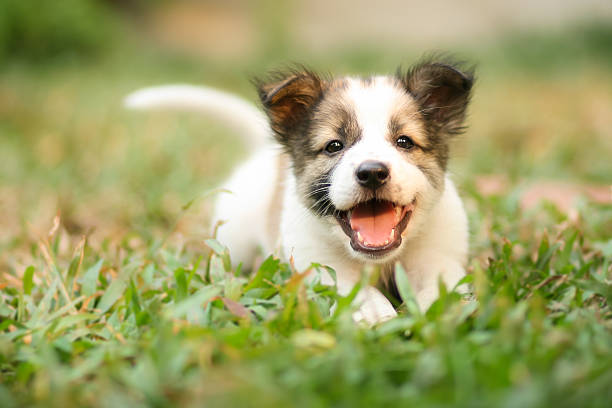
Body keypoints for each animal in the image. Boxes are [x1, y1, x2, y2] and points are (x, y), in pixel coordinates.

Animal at [125, 58, 474, 326]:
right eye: (334, 146)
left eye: (404, 142)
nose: (372, 172)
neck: (379, 261)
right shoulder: (321, 266)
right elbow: (359, 292)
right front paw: (377, 315)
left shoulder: (438, 259)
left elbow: (441, 290)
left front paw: (440, 314)